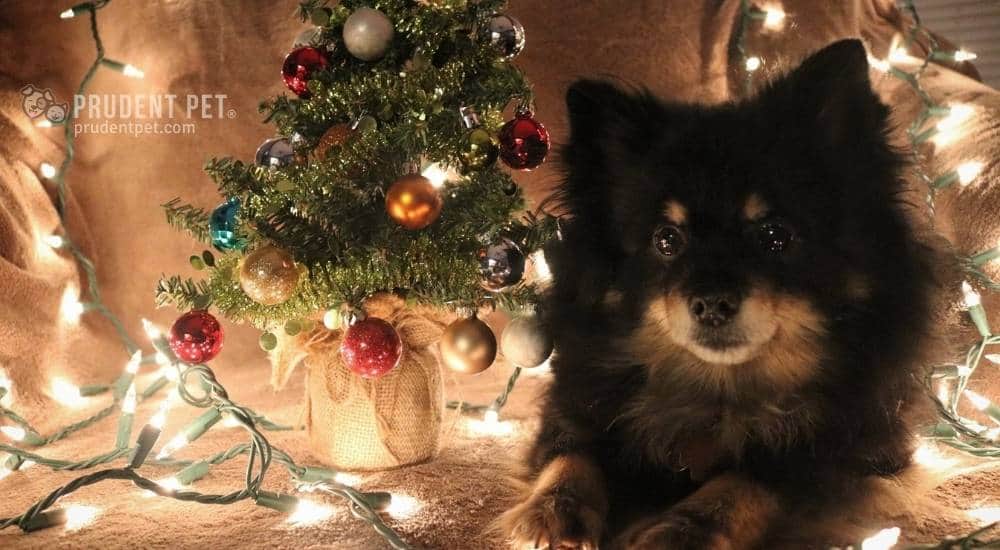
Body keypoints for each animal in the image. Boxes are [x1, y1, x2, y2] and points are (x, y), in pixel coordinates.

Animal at [500, 40, 944, 550]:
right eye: (667, 240)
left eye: (774, 236)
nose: (711, 303)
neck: (717, 389)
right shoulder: (577, 406)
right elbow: (573, 453)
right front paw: (556, 513)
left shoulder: (839, 456)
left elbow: (741, 483)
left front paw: (680, 531)